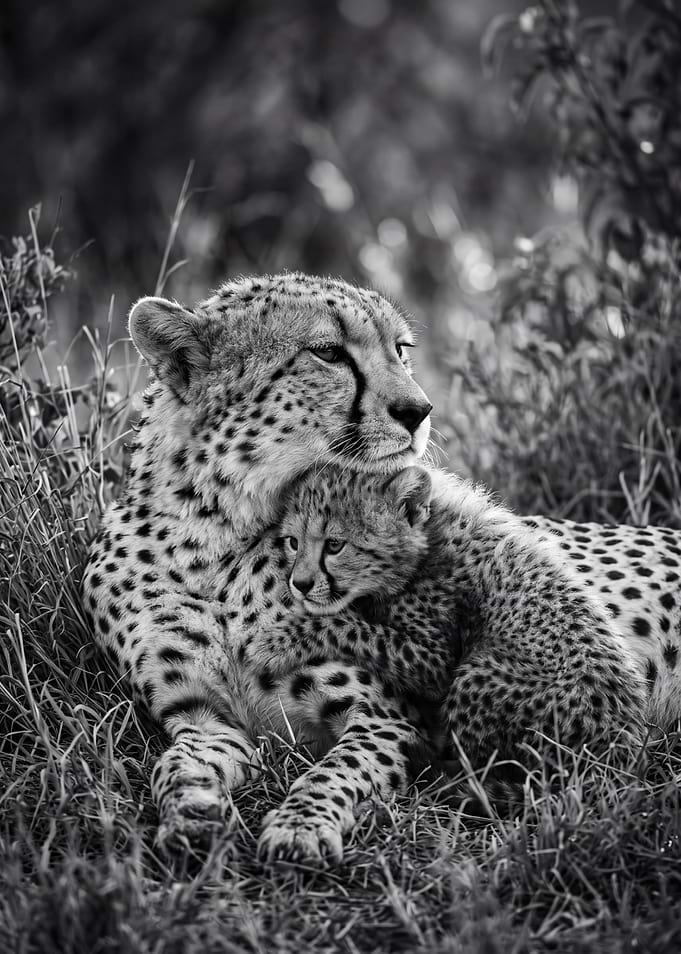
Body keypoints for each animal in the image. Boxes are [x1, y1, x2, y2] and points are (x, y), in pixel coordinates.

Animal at [81, 272, 434, 857]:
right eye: (328, 352)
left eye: (402, 350)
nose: (420, 411)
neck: (221, 535)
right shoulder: (203, 715)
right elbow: (177, 763)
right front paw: (192, 811)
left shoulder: (388, 715)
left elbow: (337, 769)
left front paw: (300, 827)